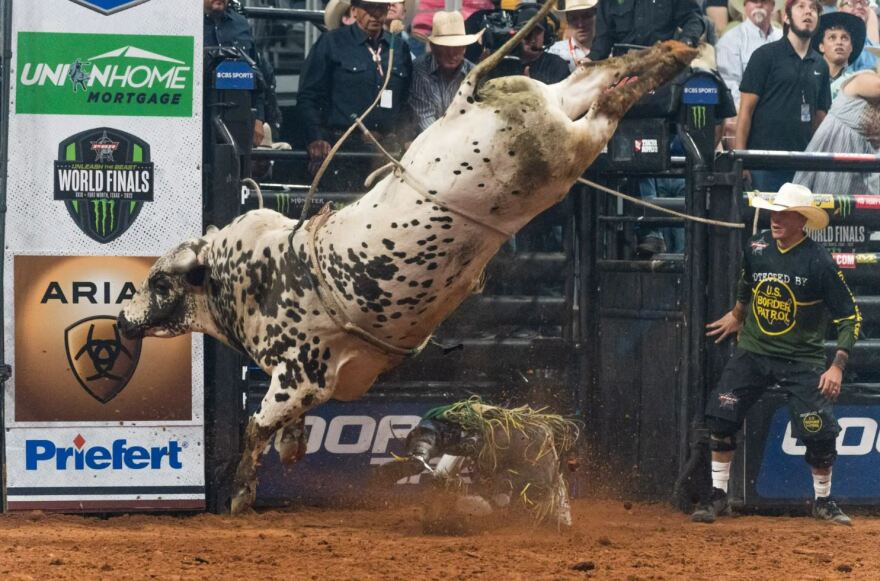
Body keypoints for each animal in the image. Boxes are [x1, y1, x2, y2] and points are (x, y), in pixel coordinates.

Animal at [117, 3, 696, 512]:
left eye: (160, 281)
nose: (122, 319)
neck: (238, 276)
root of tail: (466, 100)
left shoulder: (301, 375)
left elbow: (257, 426)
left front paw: (241, 492)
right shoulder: (310, 384)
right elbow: (281, 427)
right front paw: (292, 447)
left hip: (565, 149)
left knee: (607, 108)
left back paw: (669, 59)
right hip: (556, 108)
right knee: (600, 77)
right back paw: (672, 53)